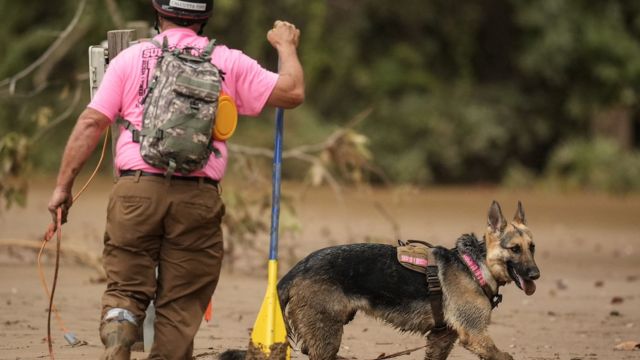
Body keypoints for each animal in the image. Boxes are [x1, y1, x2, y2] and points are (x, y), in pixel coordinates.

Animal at [276, 201, 540, 358]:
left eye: (532, 247)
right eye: (515, 249)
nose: (536, 275)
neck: (475, 265)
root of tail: (299, 267)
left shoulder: (441, 338)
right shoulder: (474, 333)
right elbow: (505, 356)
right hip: (328, 334)